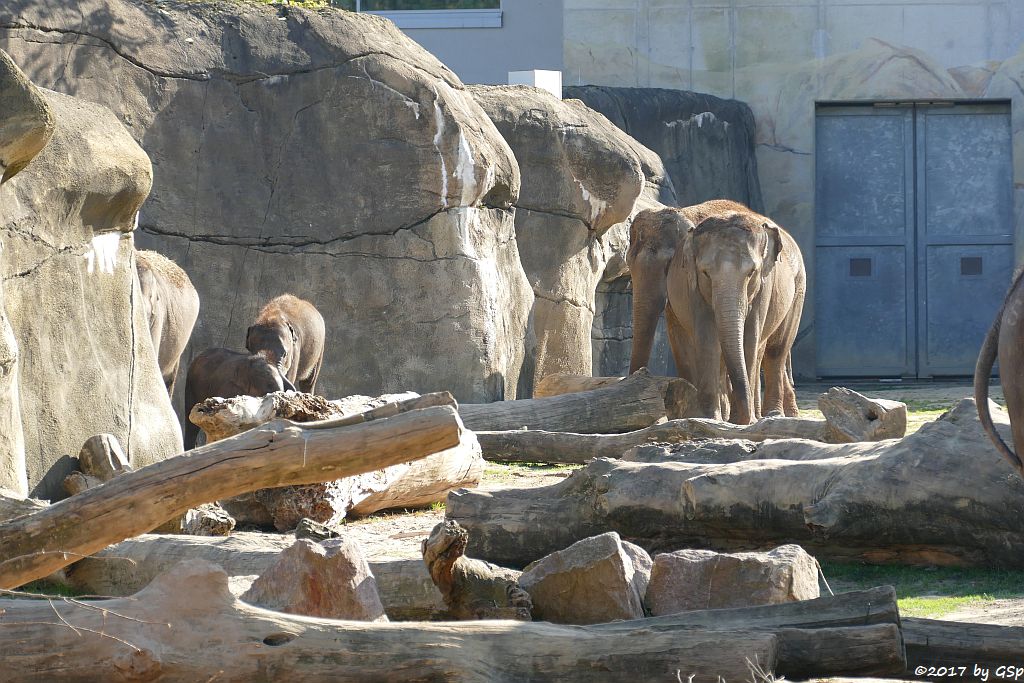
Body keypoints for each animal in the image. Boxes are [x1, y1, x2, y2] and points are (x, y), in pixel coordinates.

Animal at [626, 200, 802, 423]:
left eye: (669, 264)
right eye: (628, 264)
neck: (687, 212)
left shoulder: (764, 285)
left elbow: (749, 338)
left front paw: (735, 420)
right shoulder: (689, 284)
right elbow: (704, 338)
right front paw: (709, 417)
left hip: (798, 288)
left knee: (775, 350)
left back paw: (774, 415)